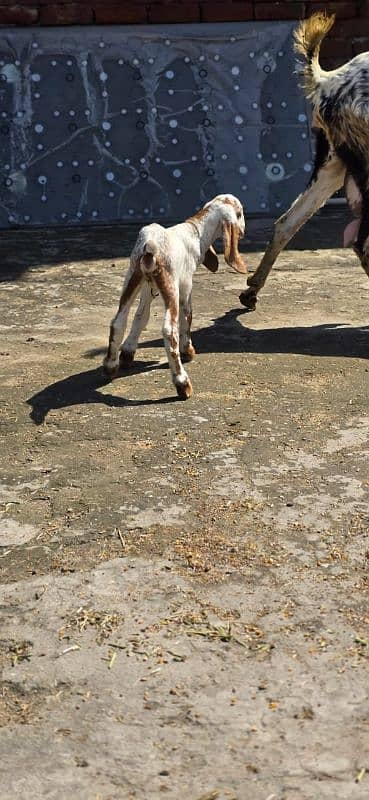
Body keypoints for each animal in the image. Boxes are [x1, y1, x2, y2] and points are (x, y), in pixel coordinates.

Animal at [103, 195, 244, 400]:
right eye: (240, 213)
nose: (243, 231)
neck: (195, 233)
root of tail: (150, 246)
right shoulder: (185, 286)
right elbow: (187, 317)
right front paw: (188, 351)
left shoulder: (147, 288)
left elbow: (141, 317)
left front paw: (128, 353)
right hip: (171, 287)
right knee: (169, 331)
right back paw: (182, 383)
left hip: (132, 277)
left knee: (118, 321)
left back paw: (110, 366)